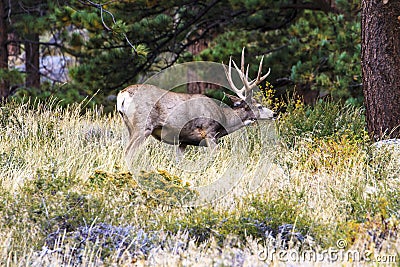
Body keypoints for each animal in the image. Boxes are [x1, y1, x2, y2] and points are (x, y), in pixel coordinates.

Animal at [117, 48, 276, 159]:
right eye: (260, 106)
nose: (274, 113)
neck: (224, 120)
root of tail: (122, 95)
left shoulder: (183, 141)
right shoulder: (209, 134)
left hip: (129, 126)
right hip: (143, 125)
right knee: (127, 154)